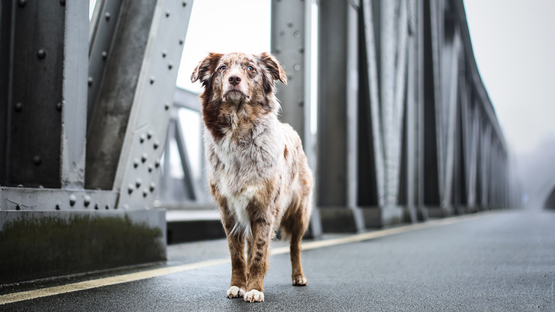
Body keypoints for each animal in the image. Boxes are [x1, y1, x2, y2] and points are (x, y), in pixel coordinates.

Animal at [191, 51, 312, 302]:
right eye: (222, 68)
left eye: (251, 69)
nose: (234, 79)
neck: (238, 128)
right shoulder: (229, 212)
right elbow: (237, 255)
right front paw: (238, 285)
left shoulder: (264, 210)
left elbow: (258, 254)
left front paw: (255, 289)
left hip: (300, 212)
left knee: (295, 246)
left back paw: (298, 277)